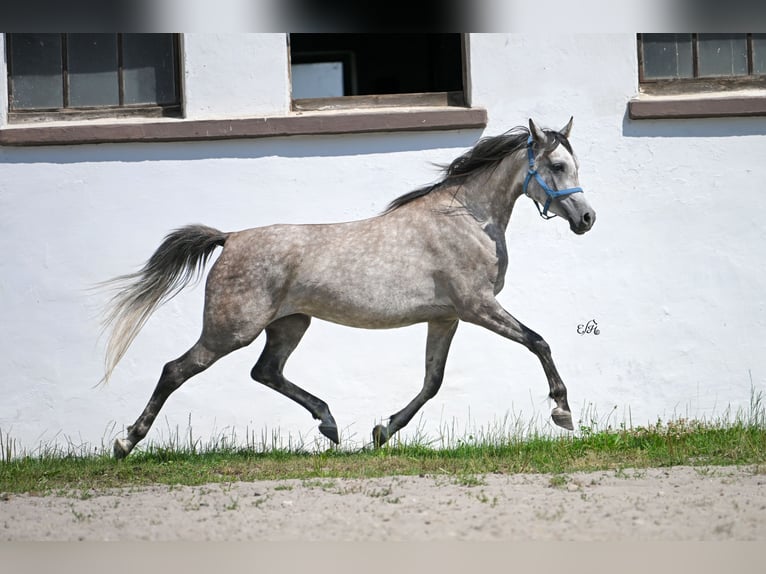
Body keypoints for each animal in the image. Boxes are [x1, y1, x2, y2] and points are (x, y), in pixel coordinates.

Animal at [103, 117, 592, 460]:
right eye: (556, 165)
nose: (587, 219)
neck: (468, 218)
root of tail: (230, 237)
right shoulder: (478, 306)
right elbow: (538, 342)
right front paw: (563, 412)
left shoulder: (446, 316)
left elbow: (432, 381)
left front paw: (382, 431)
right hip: (231, 330)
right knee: (175, 370)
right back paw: (125, 443)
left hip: (290, 324)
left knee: (265, 371)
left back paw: (330, 424)